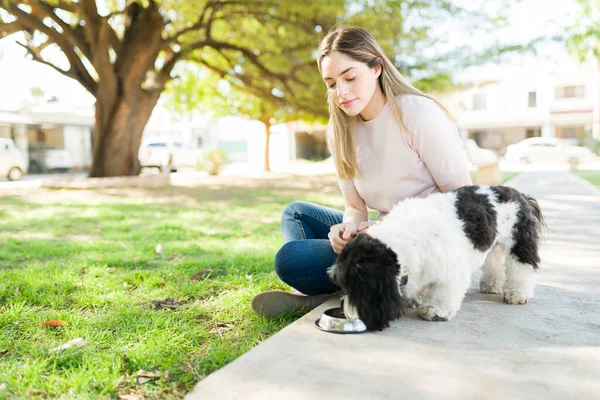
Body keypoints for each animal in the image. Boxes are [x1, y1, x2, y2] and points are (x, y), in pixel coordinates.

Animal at [328, 184, 544, 332]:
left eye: (356, 288)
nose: (346, 309)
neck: (405, 238)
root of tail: (521, 196)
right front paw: (415, 298)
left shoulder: (450, 269)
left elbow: (442, 292)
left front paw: (433, 309)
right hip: (495, 244)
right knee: (495, 261)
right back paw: (491, 285)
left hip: (519, 242)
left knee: (522, 267)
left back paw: (517, 293)